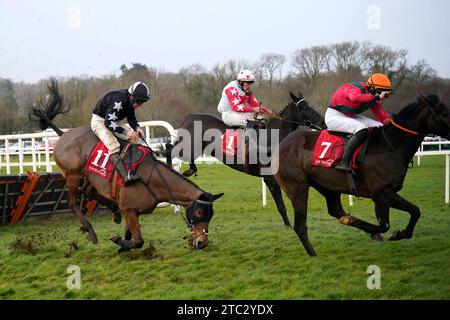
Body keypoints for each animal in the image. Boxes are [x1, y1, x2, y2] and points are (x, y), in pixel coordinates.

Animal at [29, 80, 223, 252]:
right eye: (199, 213)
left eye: (211, 214)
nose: (202, 242)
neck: (153, 180)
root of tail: (63, 135)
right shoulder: (129, 210)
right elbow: (138, 241)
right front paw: (118, 242)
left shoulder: (132, 212)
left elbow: (131, 236)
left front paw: (122, 246)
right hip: (72, 174)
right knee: (73, 202)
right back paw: (91, 232)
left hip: (92, 176)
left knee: (88, 191)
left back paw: (114, 212)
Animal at [167, 92, 326, 228]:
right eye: (304, 107)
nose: (323, 123)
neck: (271, 138)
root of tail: (189, 116)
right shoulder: (270, 178)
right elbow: (280, 205)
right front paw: (288, 226)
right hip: (186, 147)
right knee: (169, 147)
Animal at [272, 94, 450, 256]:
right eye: (443, 113)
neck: (389, 146)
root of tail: (281, 145)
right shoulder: (382, 191)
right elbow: (414, 211)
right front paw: (400, 233)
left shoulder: (381, 195)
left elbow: (385, 224)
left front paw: (378, 232)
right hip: (297, 188)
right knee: (300, 226)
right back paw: (313, 255)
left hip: (327, 187)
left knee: (336, 211)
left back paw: (350, 221)